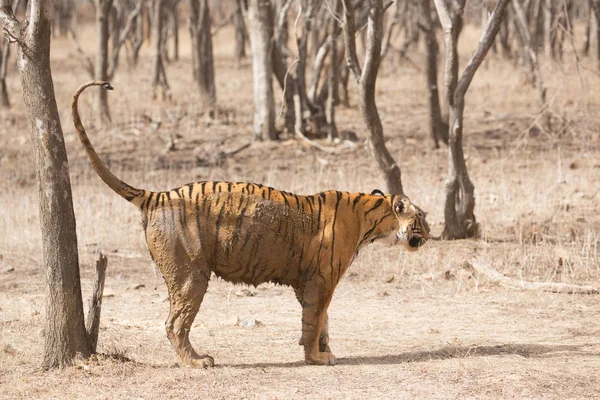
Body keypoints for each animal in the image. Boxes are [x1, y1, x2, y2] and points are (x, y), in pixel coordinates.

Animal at [71, 79, 426, 368]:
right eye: (421, 219)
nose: (430, 233)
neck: (372, 218)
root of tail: (157, 195)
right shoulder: (321, 280)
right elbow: (315, 319)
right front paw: (316, 356)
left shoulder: (311, 282)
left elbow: (322, 321)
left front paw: (323, 351)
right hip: (191, 276)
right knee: (174, 324)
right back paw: (198, 362)